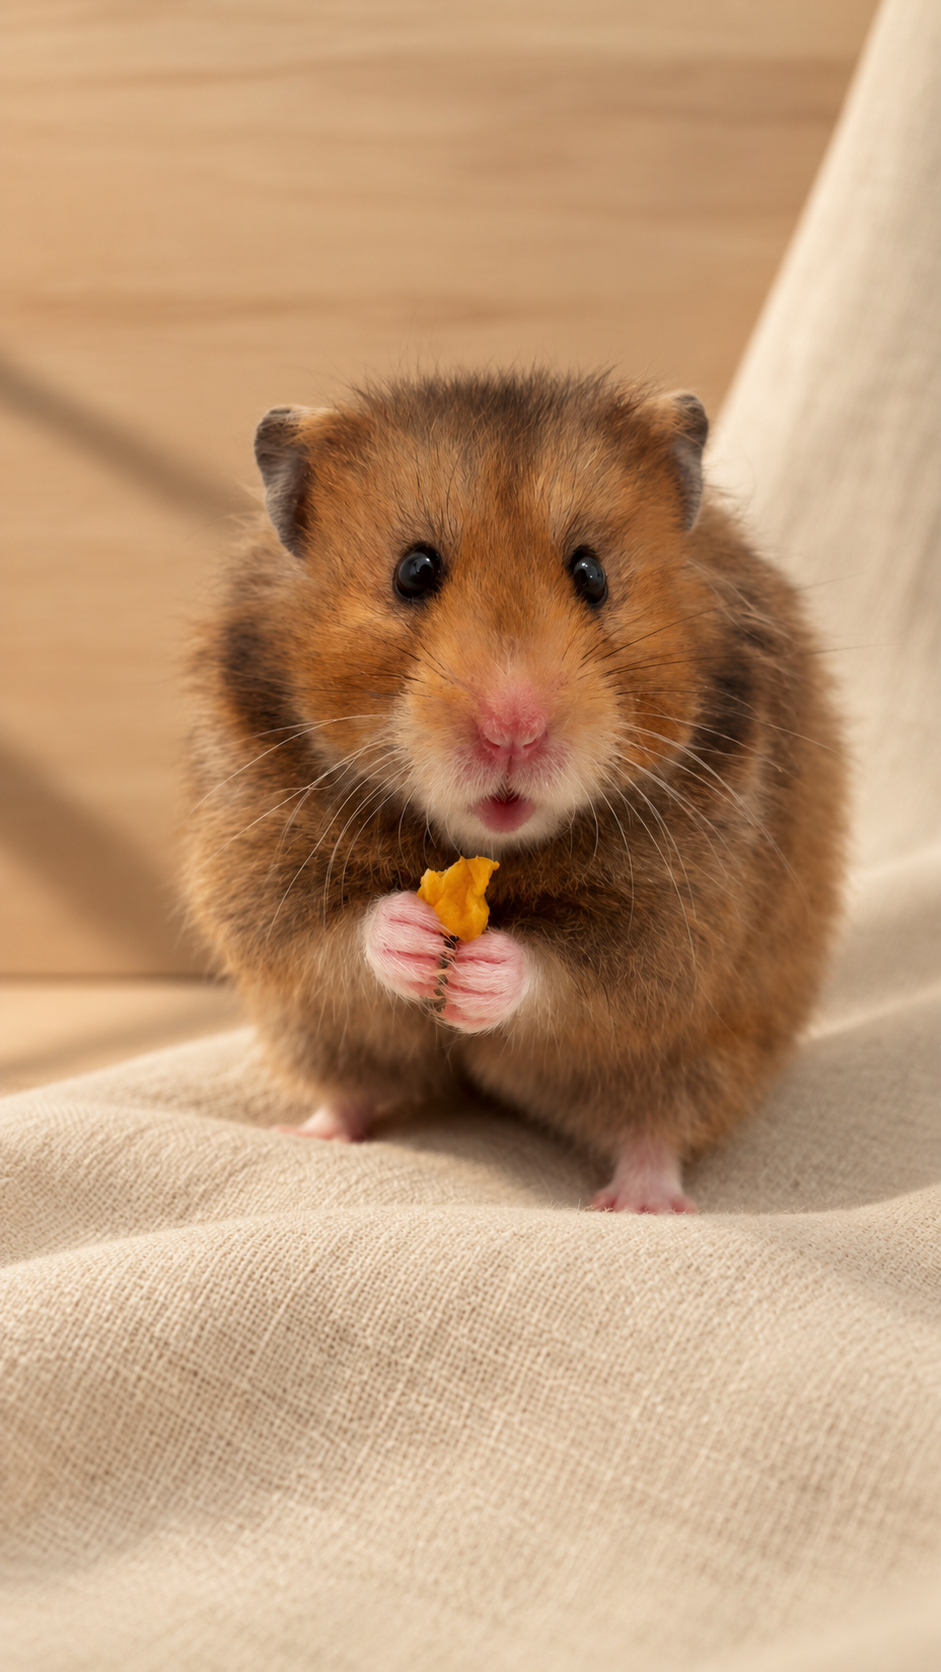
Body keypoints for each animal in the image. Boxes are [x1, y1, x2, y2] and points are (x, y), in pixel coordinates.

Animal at [185, 370, 846, 1212]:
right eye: (413, 571)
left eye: (591, 574)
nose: (513, 730)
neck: (489, 848)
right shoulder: (256, 856)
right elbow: (328, 930)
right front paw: (415, 936)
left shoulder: (682, 914)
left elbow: (580, 969)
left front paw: (481, 972)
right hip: (312, 1034)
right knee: (351, 1086)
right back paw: (313, 1134)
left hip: (702, 1056)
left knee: (653, 1125)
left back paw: (638, 1203)